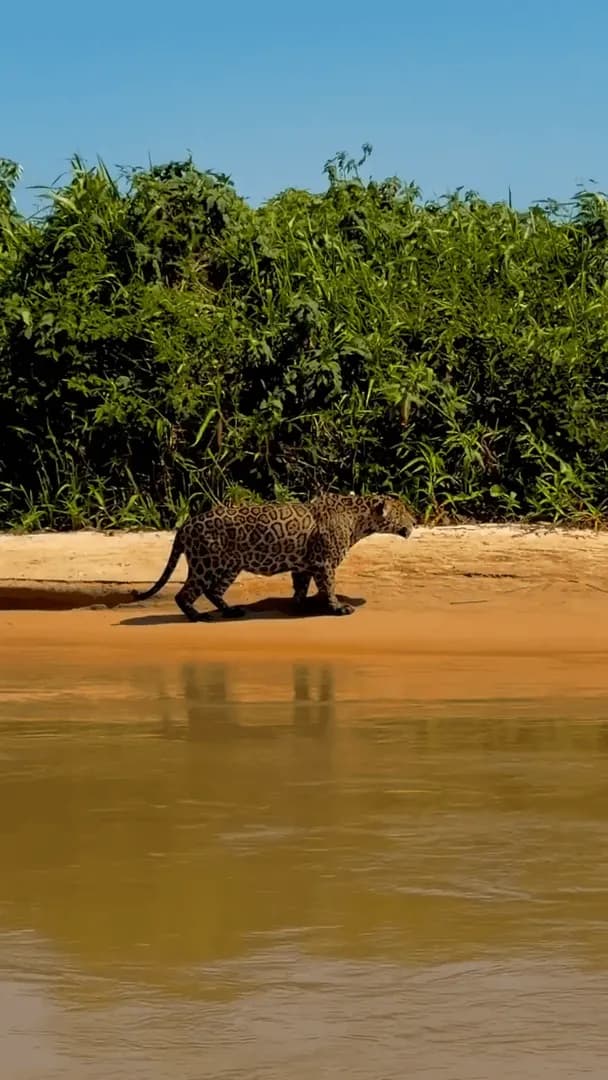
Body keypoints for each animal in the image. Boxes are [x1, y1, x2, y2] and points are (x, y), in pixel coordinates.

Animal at [132, 492, 414, 622]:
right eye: (403, 512)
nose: (414, 521)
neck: (359, 520)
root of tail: (186, 524)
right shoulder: (324, 563)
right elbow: (329, 587)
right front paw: (337, 608)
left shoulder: (304, 565)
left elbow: (300, 586)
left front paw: (299, 606)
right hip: (206, 563)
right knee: (185, 593)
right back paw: (198, 617)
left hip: (229, 565)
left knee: (214, 590)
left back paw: (231, 611)